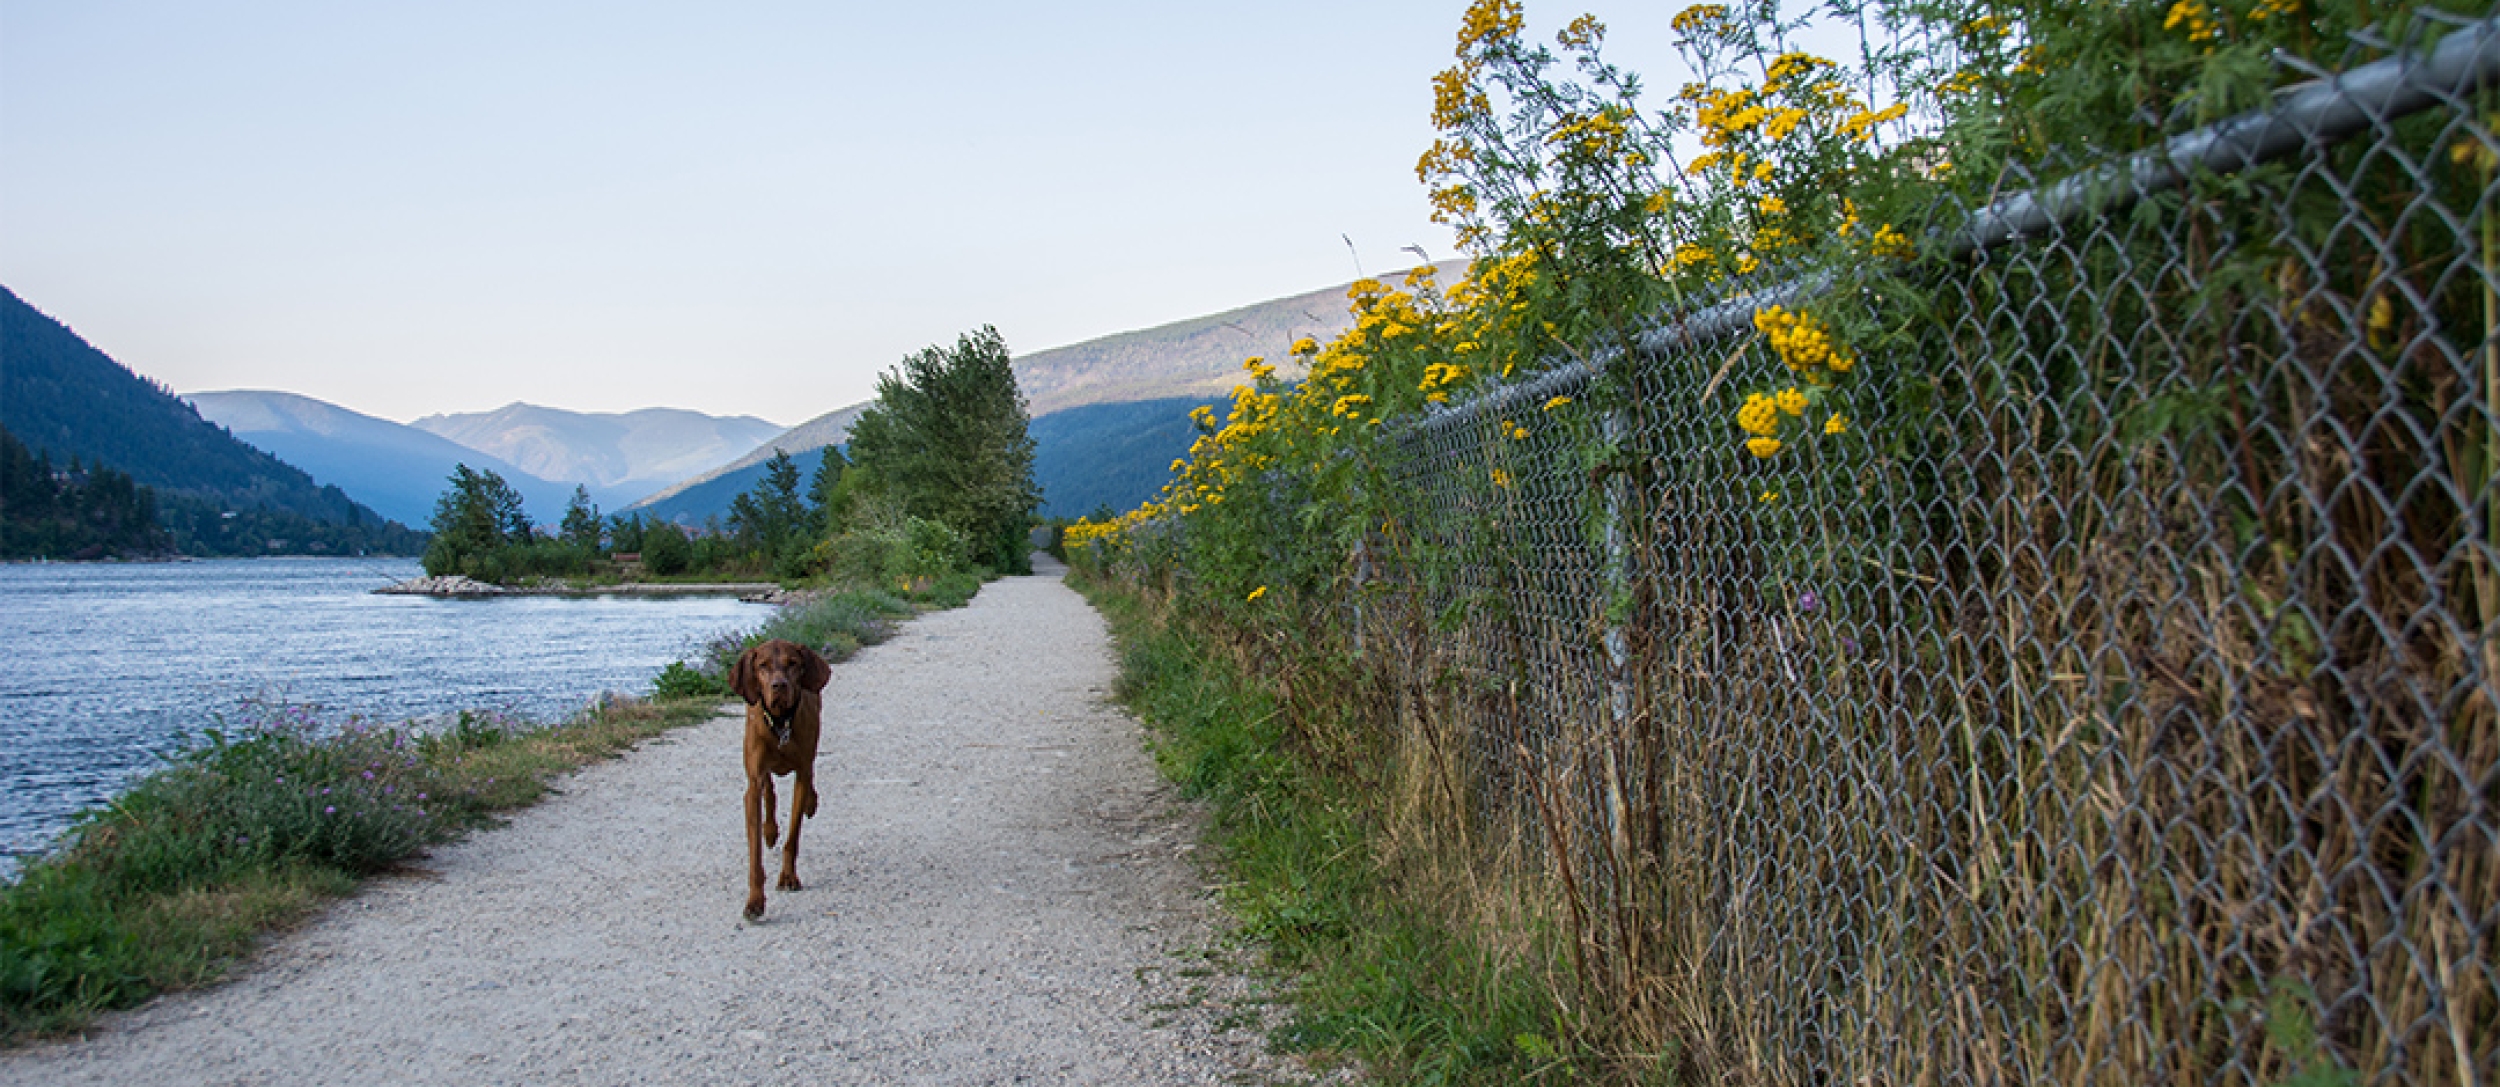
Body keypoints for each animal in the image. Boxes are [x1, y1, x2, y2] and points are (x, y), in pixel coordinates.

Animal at [730, 637, 830, 919]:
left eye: (793, 663)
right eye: (762, 665)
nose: (779, 686)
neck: (780, 721)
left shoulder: (802, 773)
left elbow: (793, 836)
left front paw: (788, 877)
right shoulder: (752, 785)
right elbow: (755, 854)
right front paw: (754, 901)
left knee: (810, 775)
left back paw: (811, 803)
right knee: (769, 789)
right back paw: (770, 830)